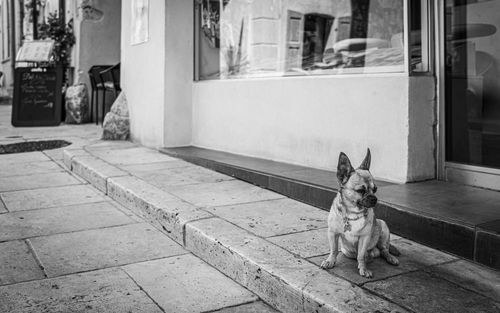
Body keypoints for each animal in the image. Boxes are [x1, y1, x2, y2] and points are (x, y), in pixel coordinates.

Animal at [322, 149, 400, 278]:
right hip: (347, 251)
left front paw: (363, 268)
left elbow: (361, 255)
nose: (374, 198)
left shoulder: (364, 237)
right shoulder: (333, 233)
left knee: (384, 250)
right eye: (360, 190)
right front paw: (330, 261)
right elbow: (334, 250)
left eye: (375, 189)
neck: (353, 212)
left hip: (383, 227)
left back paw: (390, 258)